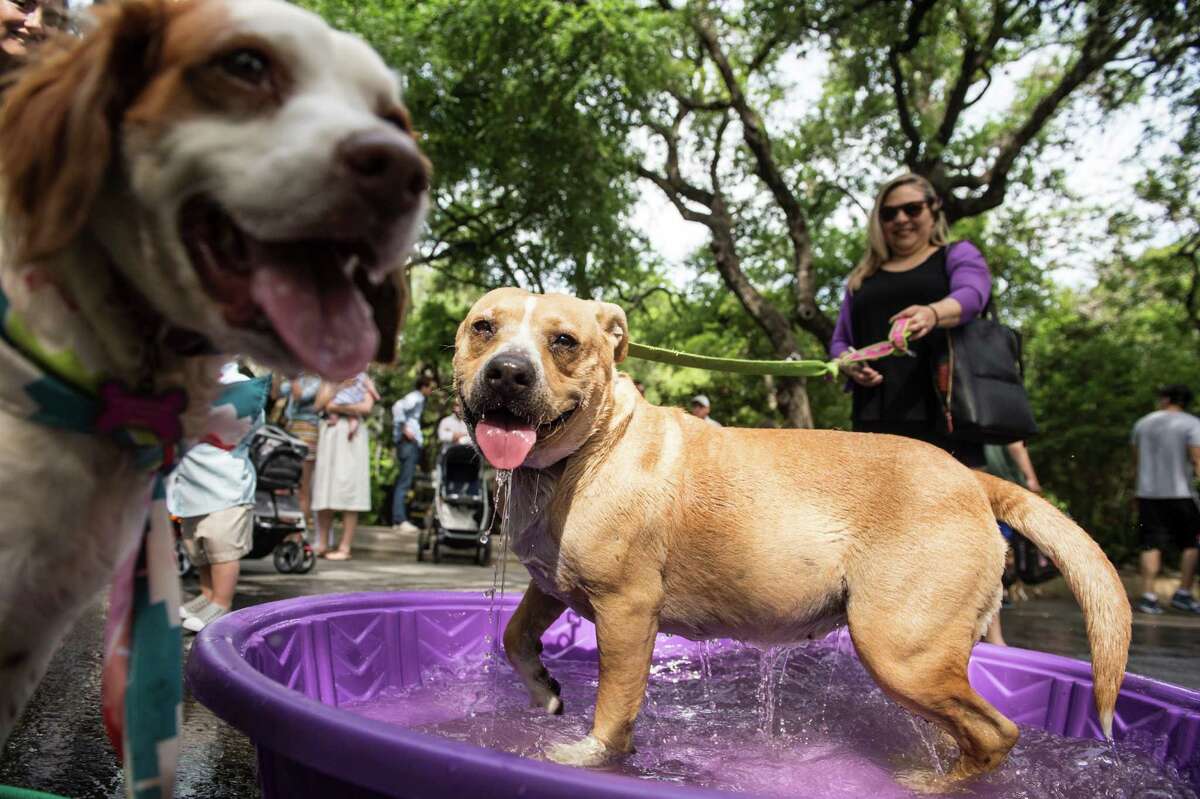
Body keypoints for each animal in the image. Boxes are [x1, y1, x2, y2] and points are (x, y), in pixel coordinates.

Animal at [451, 287, 1132, 782]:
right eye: (483, 327)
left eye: (564, 341)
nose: (508, 373)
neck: (584, 452)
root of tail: (971, 477)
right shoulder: (552, 583)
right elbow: (514, 635)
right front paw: (545, 693)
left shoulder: (626, 610)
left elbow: (615, 705)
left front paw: (592, 756)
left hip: (900, 650)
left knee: (997, 733)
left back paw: (931, 783)